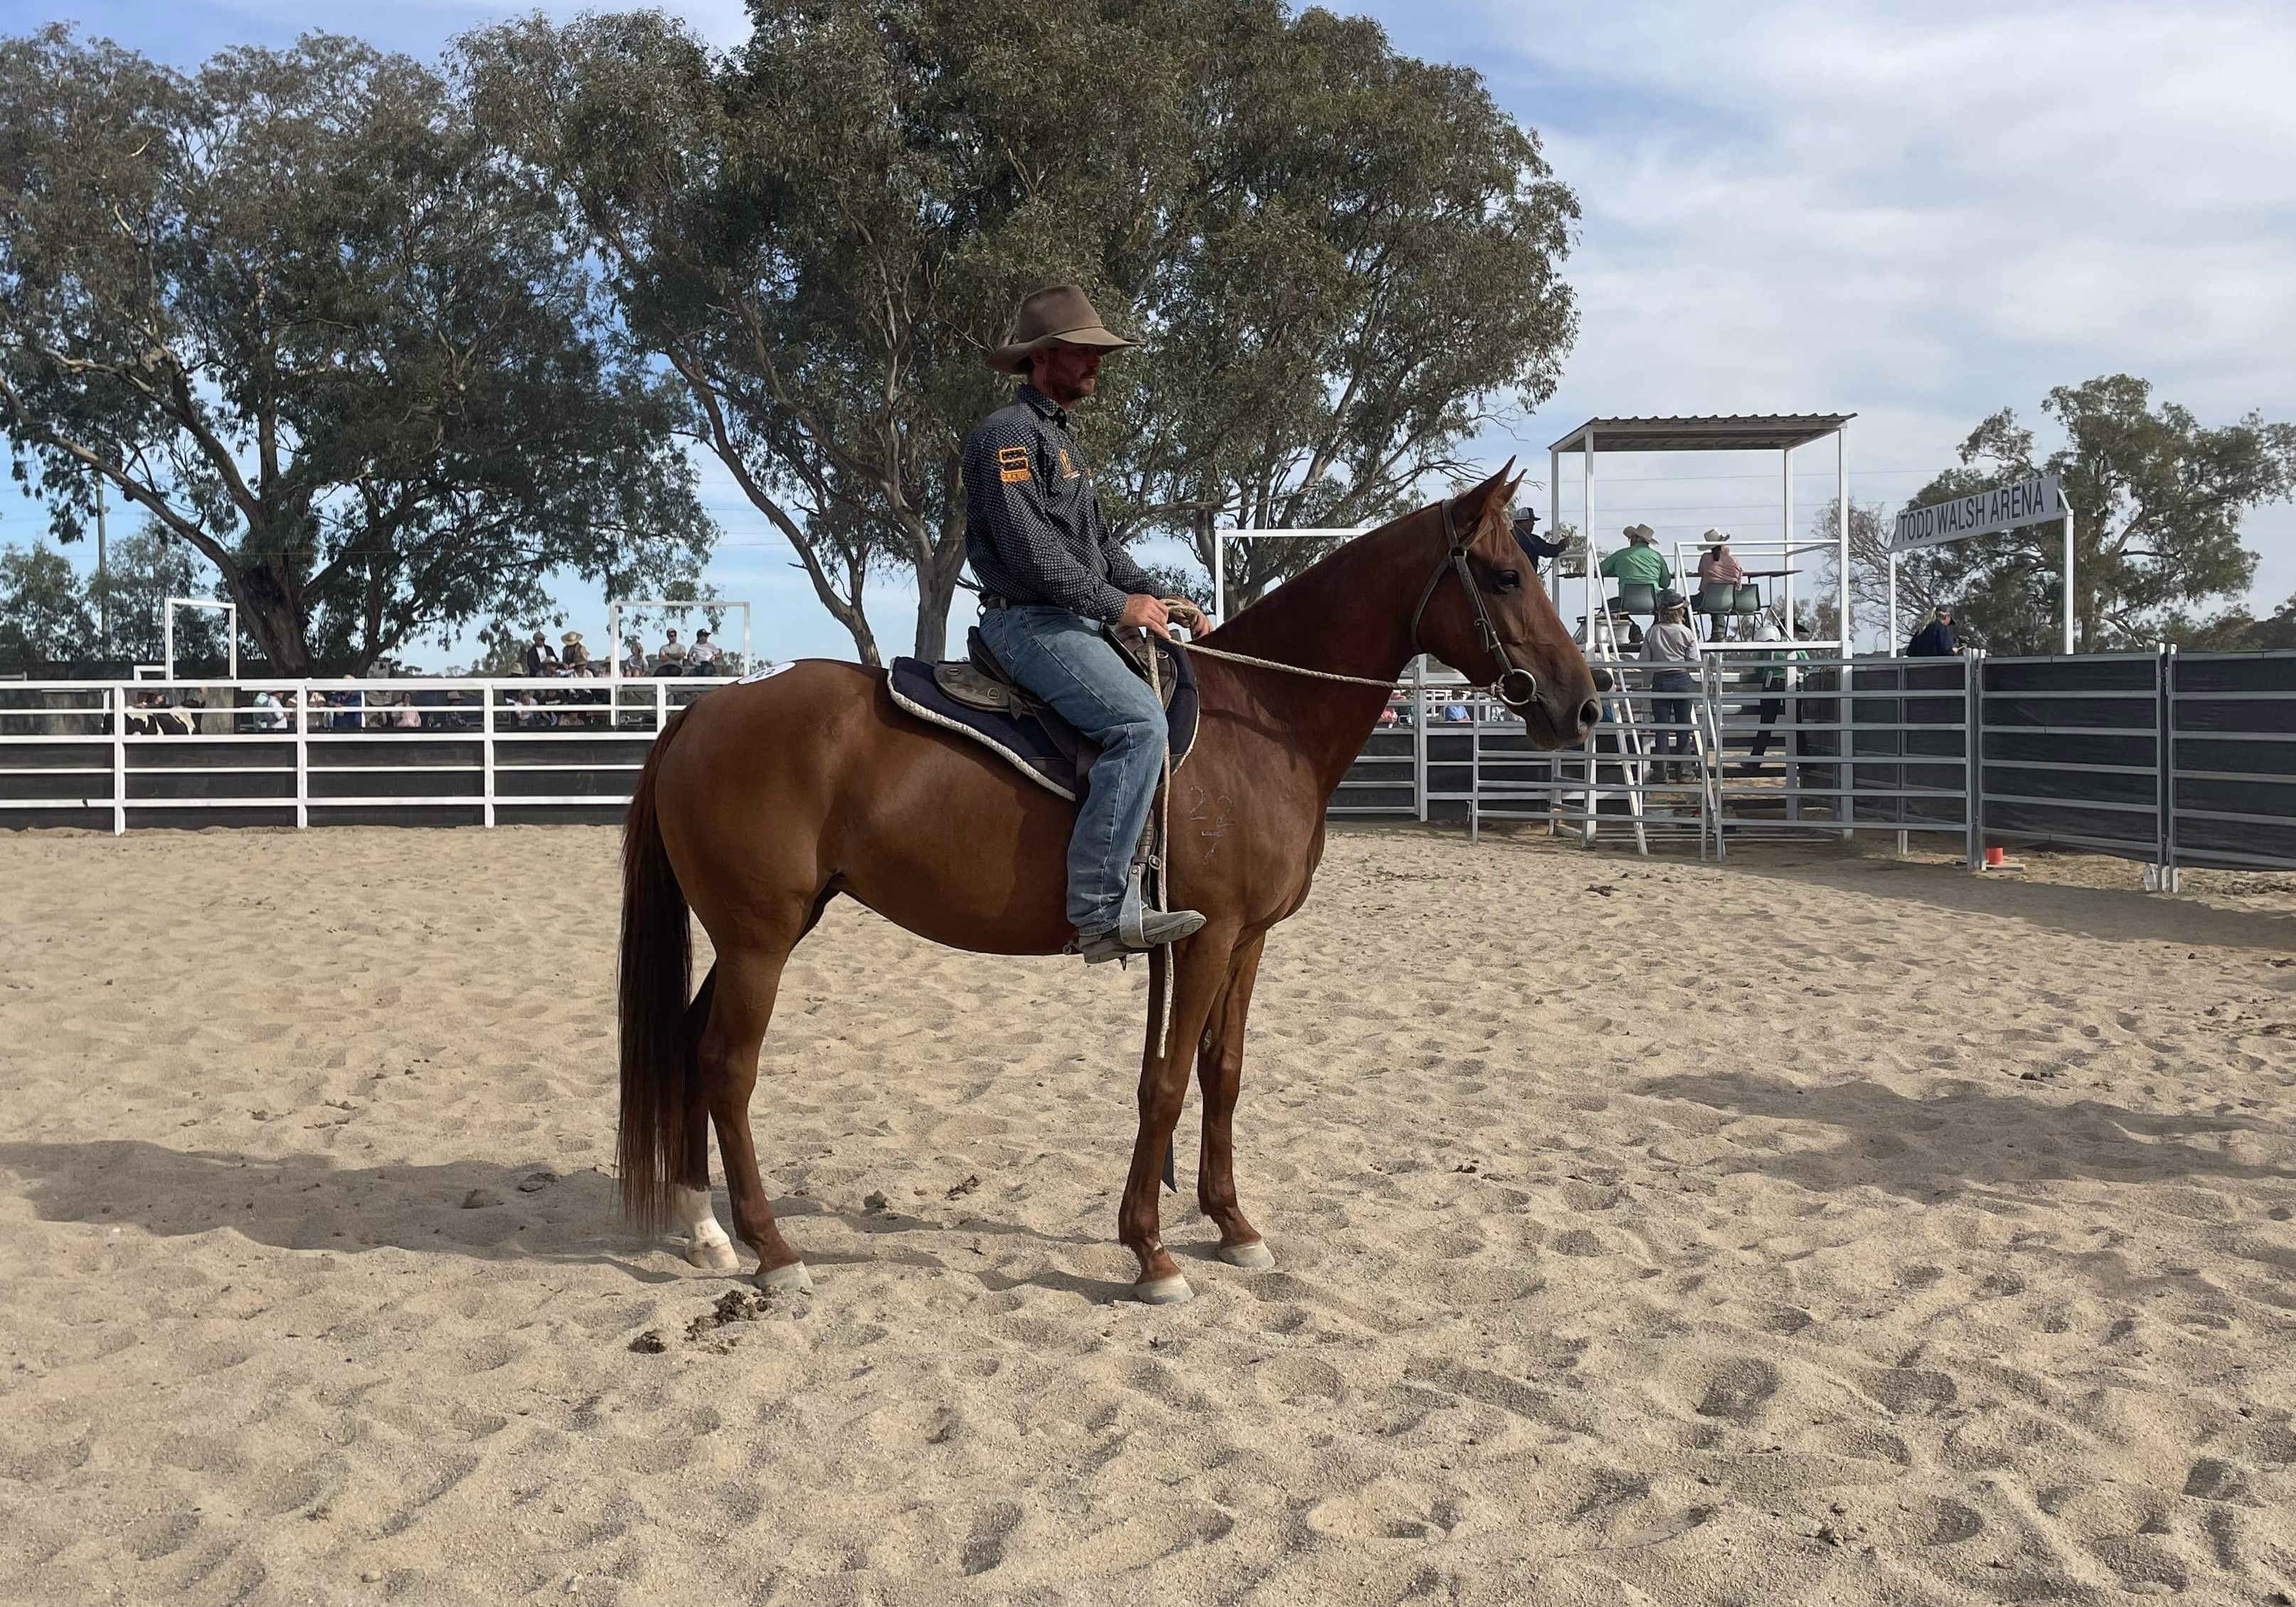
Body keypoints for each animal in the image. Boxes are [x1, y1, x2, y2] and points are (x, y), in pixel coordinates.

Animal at [617, 463, 1599, 1303]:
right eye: (1504, 576)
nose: (1583, 706)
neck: (1263, 720)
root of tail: (705, 711)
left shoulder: (1248, 939)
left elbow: (1222, 1074)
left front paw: (1233, 1224)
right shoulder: (1205, 936)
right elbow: (1166, 1081)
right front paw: (1151, 1250)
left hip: (758, 933)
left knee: (690, 1046)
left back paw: (705, 1229)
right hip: (760, 939)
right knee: (726, 1064)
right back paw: (772, 1247)